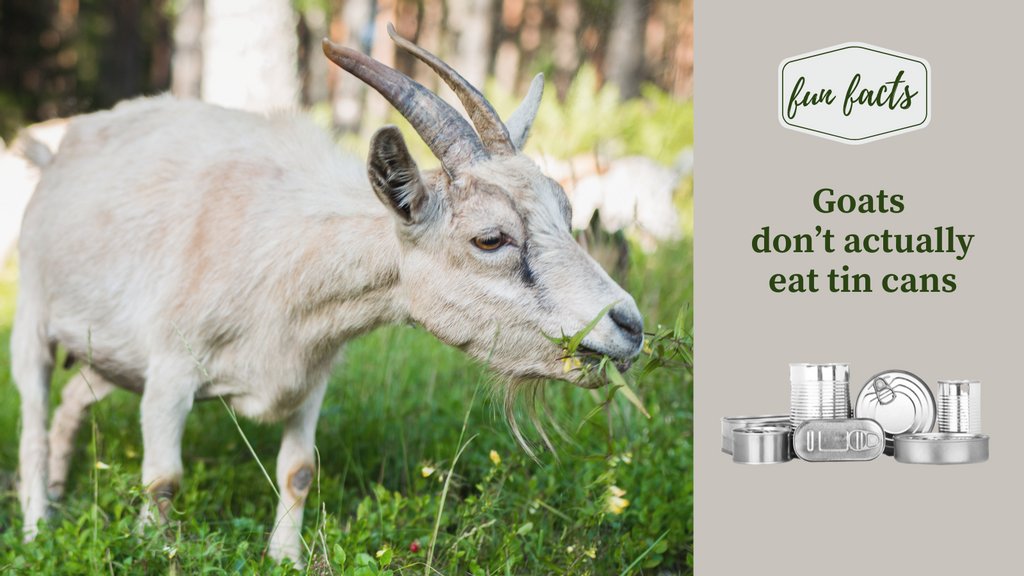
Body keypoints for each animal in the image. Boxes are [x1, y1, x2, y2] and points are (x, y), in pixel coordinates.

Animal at [11, 26, 644, 563]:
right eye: (490, 238)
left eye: (567, 213)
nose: (630, 326)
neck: (286, 253)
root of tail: (57, 153)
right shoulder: (170, 371)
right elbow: (163, 480)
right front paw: (153, 552)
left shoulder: (310, 376)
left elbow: (298, 471)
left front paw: (285, 558)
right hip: (33, 316)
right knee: (34, 418)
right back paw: (38, 526)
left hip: (109, 354)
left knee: (73, 402)